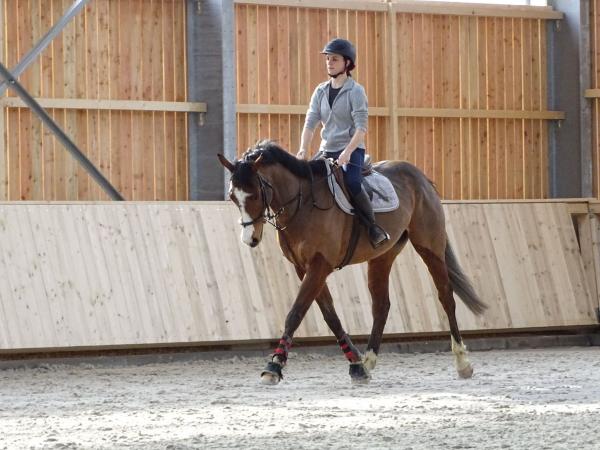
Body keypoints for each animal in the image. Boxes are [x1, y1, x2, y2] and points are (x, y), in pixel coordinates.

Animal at [218, 141, 486, 384]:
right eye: (232, 196)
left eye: (254, 193)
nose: (250, 239)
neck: (303, 205)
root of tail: (419, 176)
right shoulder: (303, 267)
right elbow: (330, 315)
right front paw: (356, 364)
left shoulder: (320, 265)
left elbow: (296, 313)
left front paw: (273, 366)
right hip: (382, 257)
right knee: (381, 305)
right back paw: (368, 361)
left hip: (429, 247)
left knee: (446, 297)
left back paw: (462, 362)